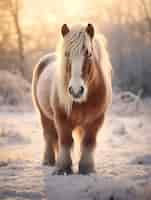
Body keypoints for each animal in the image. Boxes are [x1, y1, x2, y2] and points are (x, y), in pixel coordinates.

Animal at [31, 23, 112, 173]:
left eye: (88, 53)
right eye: (66, 54)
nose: (76, 90)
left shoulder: (96, 121)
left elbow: (88, 142)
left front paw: (87, 168)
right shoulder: (62, 119)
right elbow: (65, 141)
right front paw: (63, 168)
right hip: (44, 115)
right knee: (49, 135)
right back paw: (48, 161)